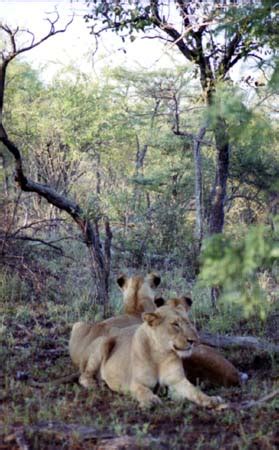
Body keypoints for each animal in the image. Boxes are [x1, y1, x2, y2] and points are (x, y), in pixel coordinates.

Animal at [72, 298, 228, 412]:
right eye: (175, 324)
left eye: (188, 322)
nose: (194, 340)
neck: (161, 354)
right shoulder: (135, 383)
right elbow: (143, 391)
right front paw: (151, 400)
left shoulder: (177, 381)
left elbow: (195, 391)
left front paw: (212, 400)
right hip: (104, 342)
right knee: (83, 375)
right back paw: (95, 384)